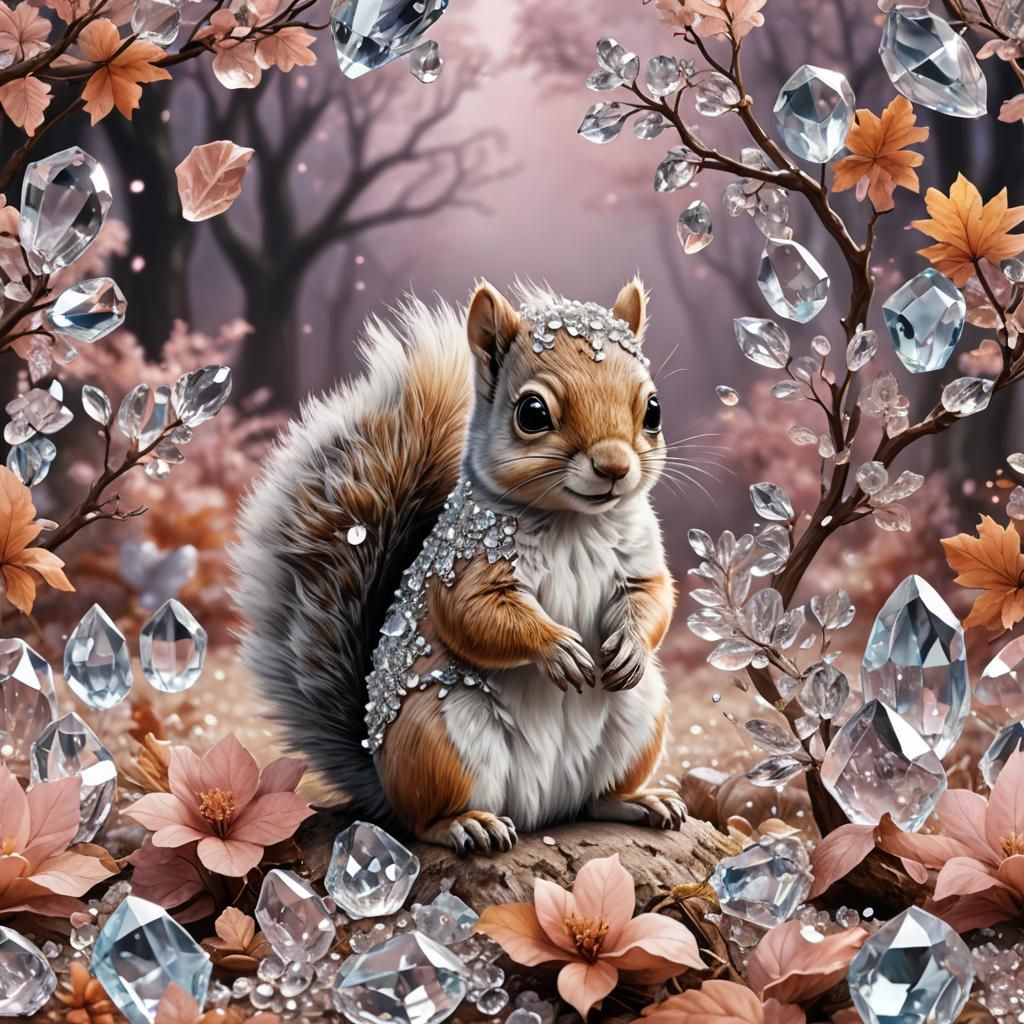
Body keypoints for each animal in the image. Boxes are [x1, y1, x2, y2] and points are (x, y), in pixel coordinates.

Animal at [233, 278, 684, 854]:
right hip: (438, 734)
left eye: (653, 411)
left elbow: (654, 597)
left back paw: (638, 801)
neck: (574, 521)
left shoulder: (641, 560)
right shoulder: (464, 567)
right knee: (422, 820)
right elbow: (475, 616)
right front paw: (558, 648)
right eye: (532, 413)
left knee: (596, 799)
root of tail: (543, 810)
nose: (614, 467)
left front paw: (628, 646)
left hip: (642, 713)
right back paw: (467, 824)